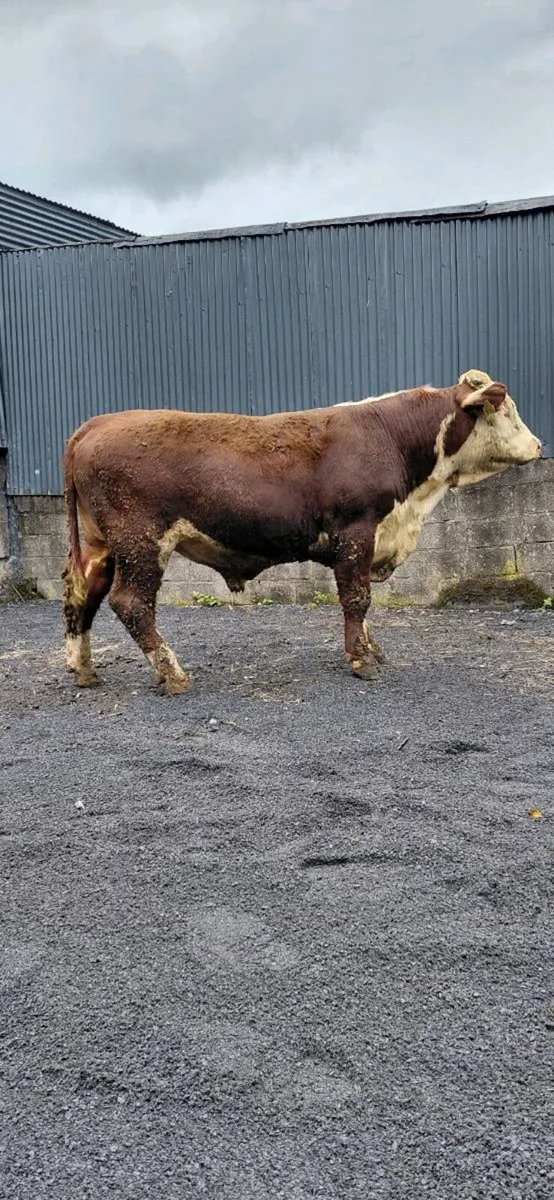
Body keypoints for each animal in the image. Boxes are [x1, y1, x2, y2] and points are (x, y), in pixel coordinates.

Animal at [62, 369, 542, 694]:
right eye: (506, 410)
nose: (538, 445)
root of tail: (96, 423)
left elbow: (362, 599)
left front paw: (371, 648)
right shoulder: (356, 531)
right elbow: (357, 597)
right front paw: (361, 660)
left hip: (104, 545)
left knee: (82, 594)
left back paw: (84, 669)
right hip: (141, 542)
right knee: (131, 603)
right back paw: (172, 673)